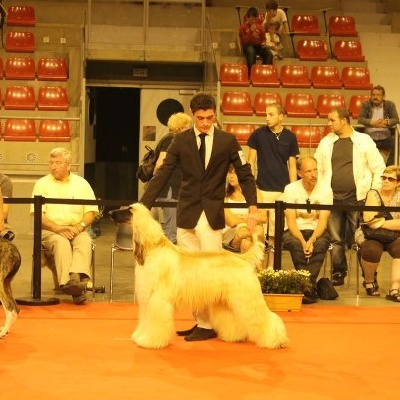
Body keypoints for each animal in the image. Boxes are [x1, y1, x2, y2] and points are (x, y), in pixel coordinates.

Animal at [111, 205, 290, 348]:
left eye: (128, 210)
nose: (111, 212)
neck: (153, 249)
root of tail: (242, 258)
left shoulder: (158, 300)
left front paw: (149, 341)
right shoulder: (146, 300)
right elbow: (145, 320)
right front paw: (140, 336)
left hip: (247, 297)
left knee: (265, 317)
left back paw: (275, 340)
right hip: (226, 300)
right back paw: (234, 336)